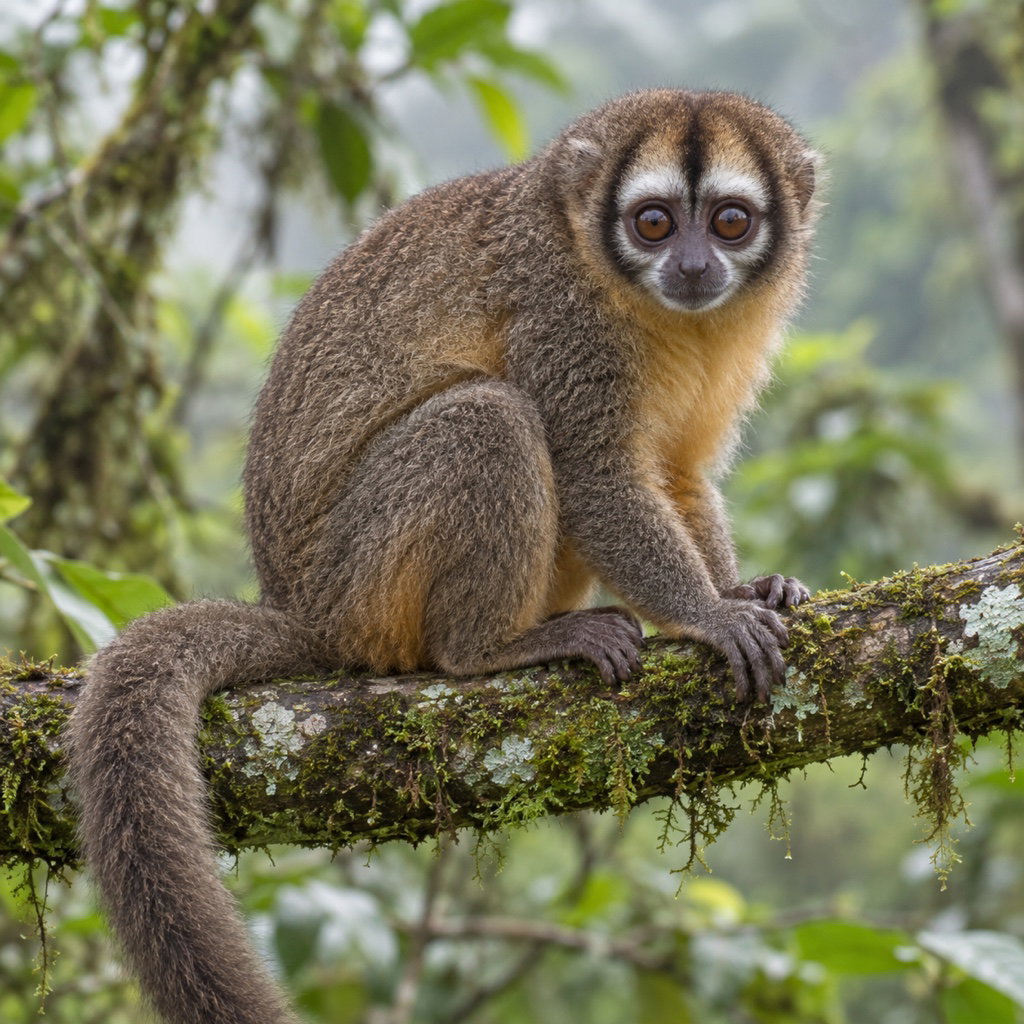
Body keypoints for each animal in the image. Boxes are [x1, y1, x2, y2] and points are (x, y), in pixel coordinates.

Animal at [67, 89, 820, 1024]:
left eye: (728, 222)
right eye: (652, 223)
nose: (688, 266)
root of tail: (299, 609)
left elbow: (677, 474)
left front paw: (746, 587)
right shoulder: (562, 314)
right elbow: (594, 471)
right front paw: (712, 615)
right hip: (360, 574)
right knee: (488, 418)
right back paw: (493, 648)